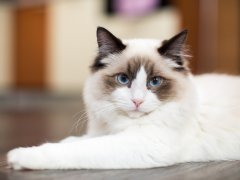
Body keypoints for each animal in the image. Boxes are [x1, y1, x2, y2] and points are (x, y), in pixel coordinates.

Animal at [7, 26, 240, 170]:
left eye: (155, 82)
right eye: (123, 79)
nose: (137, 101)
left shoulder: (141, 143)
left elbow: (74, 149)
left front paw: (18, 158)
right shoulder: (103, 132)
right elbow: (75, 140)